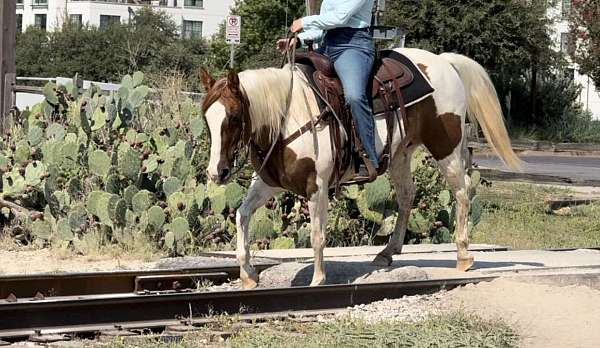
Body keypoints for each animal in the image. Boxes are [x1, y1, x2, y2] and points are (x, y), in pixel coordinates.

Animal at [200, 47, 520, 290]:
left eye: (234, 116)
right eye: (206, 117)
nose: (218, 172)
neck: (288, 117)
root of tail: (444, 61)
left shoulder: (317, 187)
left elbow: (317, 236)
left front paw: (317, 281)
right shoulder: (269, 182)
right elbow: (241, 215)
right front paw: (248, 274)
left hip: (446, 147)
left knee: (462, 192)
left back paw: (464, 256)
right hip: (401, 154)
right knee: (407, 195)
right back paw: (387, 253)